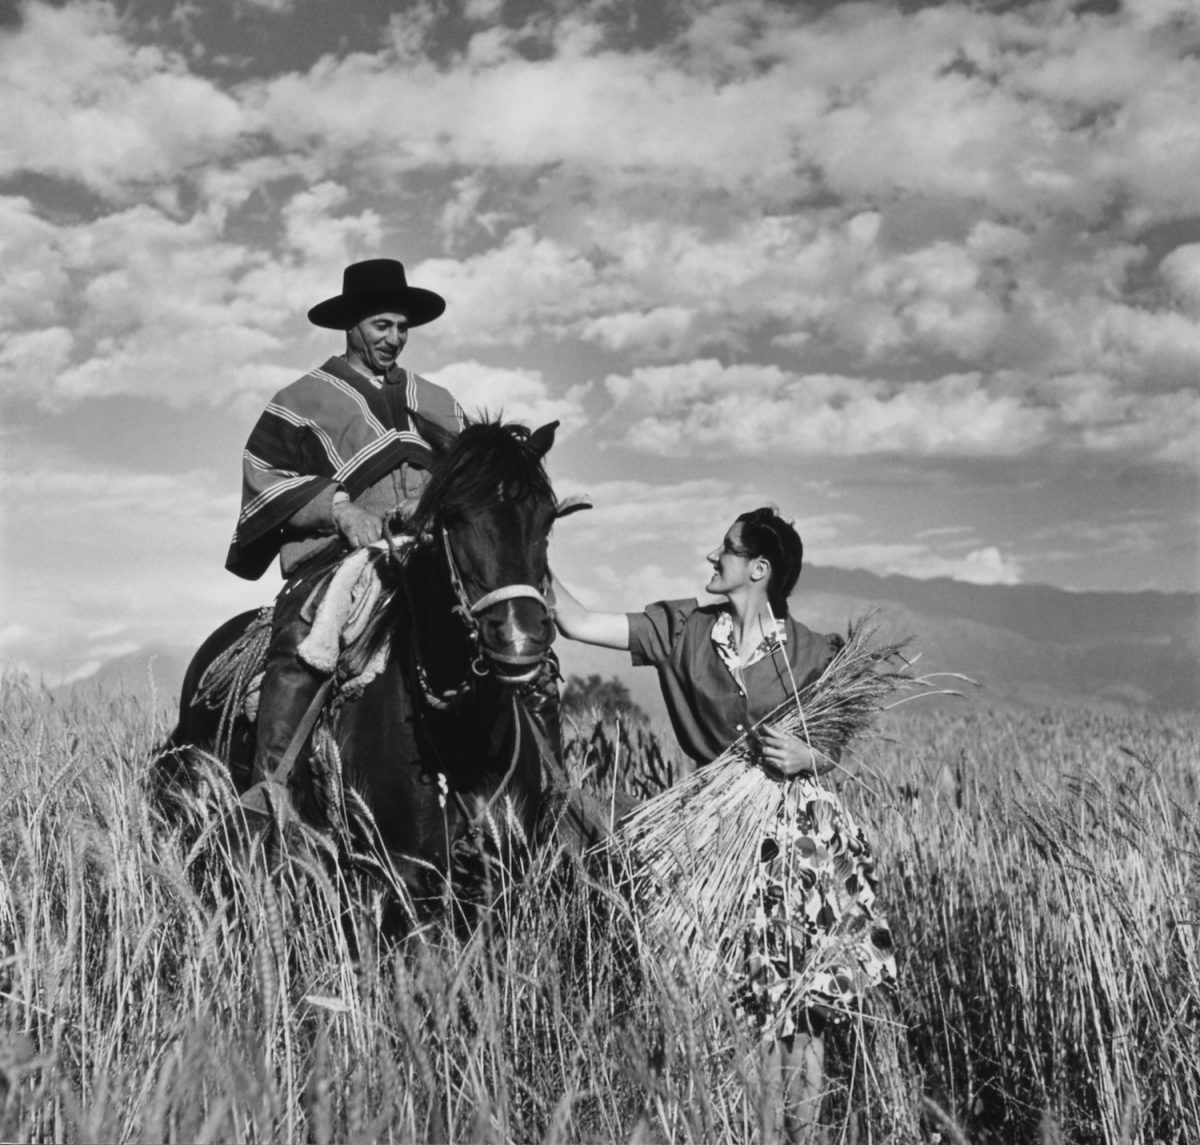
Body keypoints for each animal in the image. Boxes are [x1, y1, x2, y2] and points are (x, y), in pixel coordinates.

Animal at [162, 415, 583, 907]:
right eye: (453, 516)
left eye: (546, 519)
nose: (518, 636)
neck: (462, 740)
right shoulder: (398, 877)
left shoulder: (499, 874)